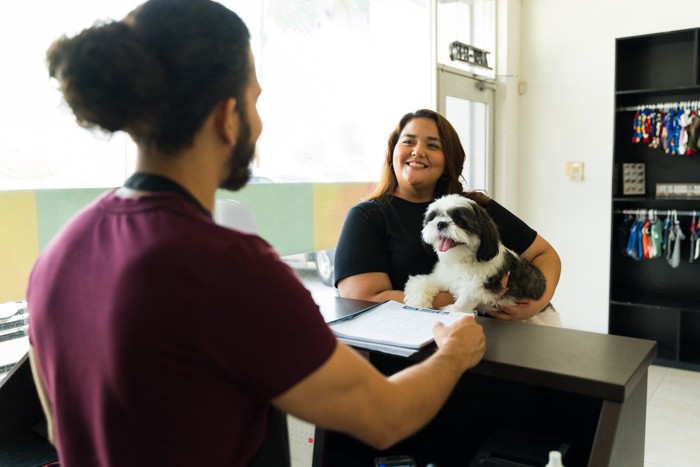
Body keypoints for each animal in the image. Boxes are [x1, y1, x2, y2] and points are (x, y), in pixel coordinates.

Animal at [404, 194, 556, 326]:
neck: (462, 260)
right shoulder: (445, 278)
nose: (440, 223)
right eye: (434, 217)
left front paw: (453, 313)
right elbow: (422, 283)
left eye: (459, 221)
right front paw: (417, 301)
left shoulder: (479, 287)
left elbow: (464, 302)